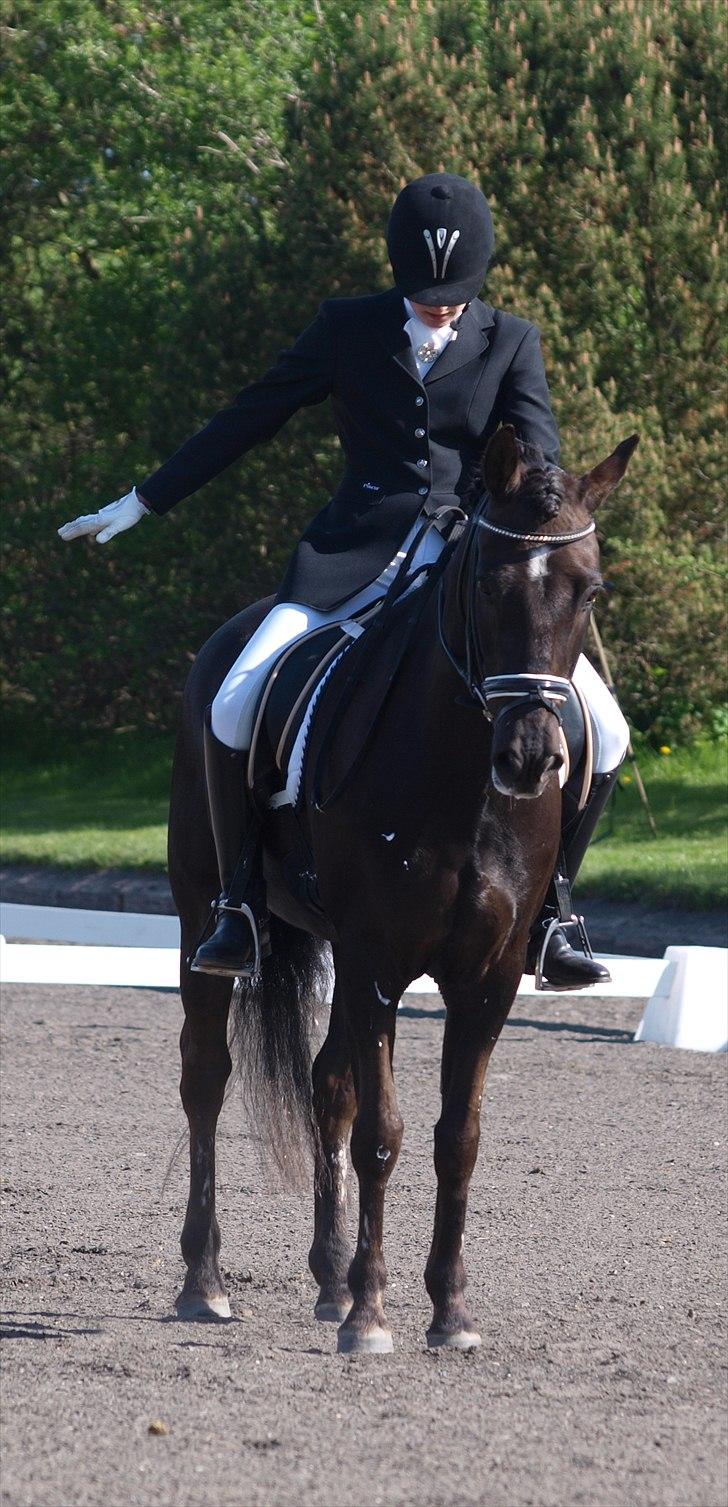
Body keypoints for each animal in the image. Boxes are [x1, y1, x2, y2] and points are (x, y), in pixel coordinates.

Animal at [167, 423, 638, 1353]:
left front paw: (447, 1310)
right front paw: (372, 1315)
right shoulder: (377, 957)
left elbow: (458, 1137)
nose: (531, 757)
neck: (460, 782)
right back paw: (207, 1282)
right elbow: (382, 1133)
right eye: (488, 584)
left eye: (590, 591)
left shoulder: (488, 975)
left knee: (326, 1086)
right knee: (207, 1075)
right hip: (203, 910)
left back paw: (327, 1277)